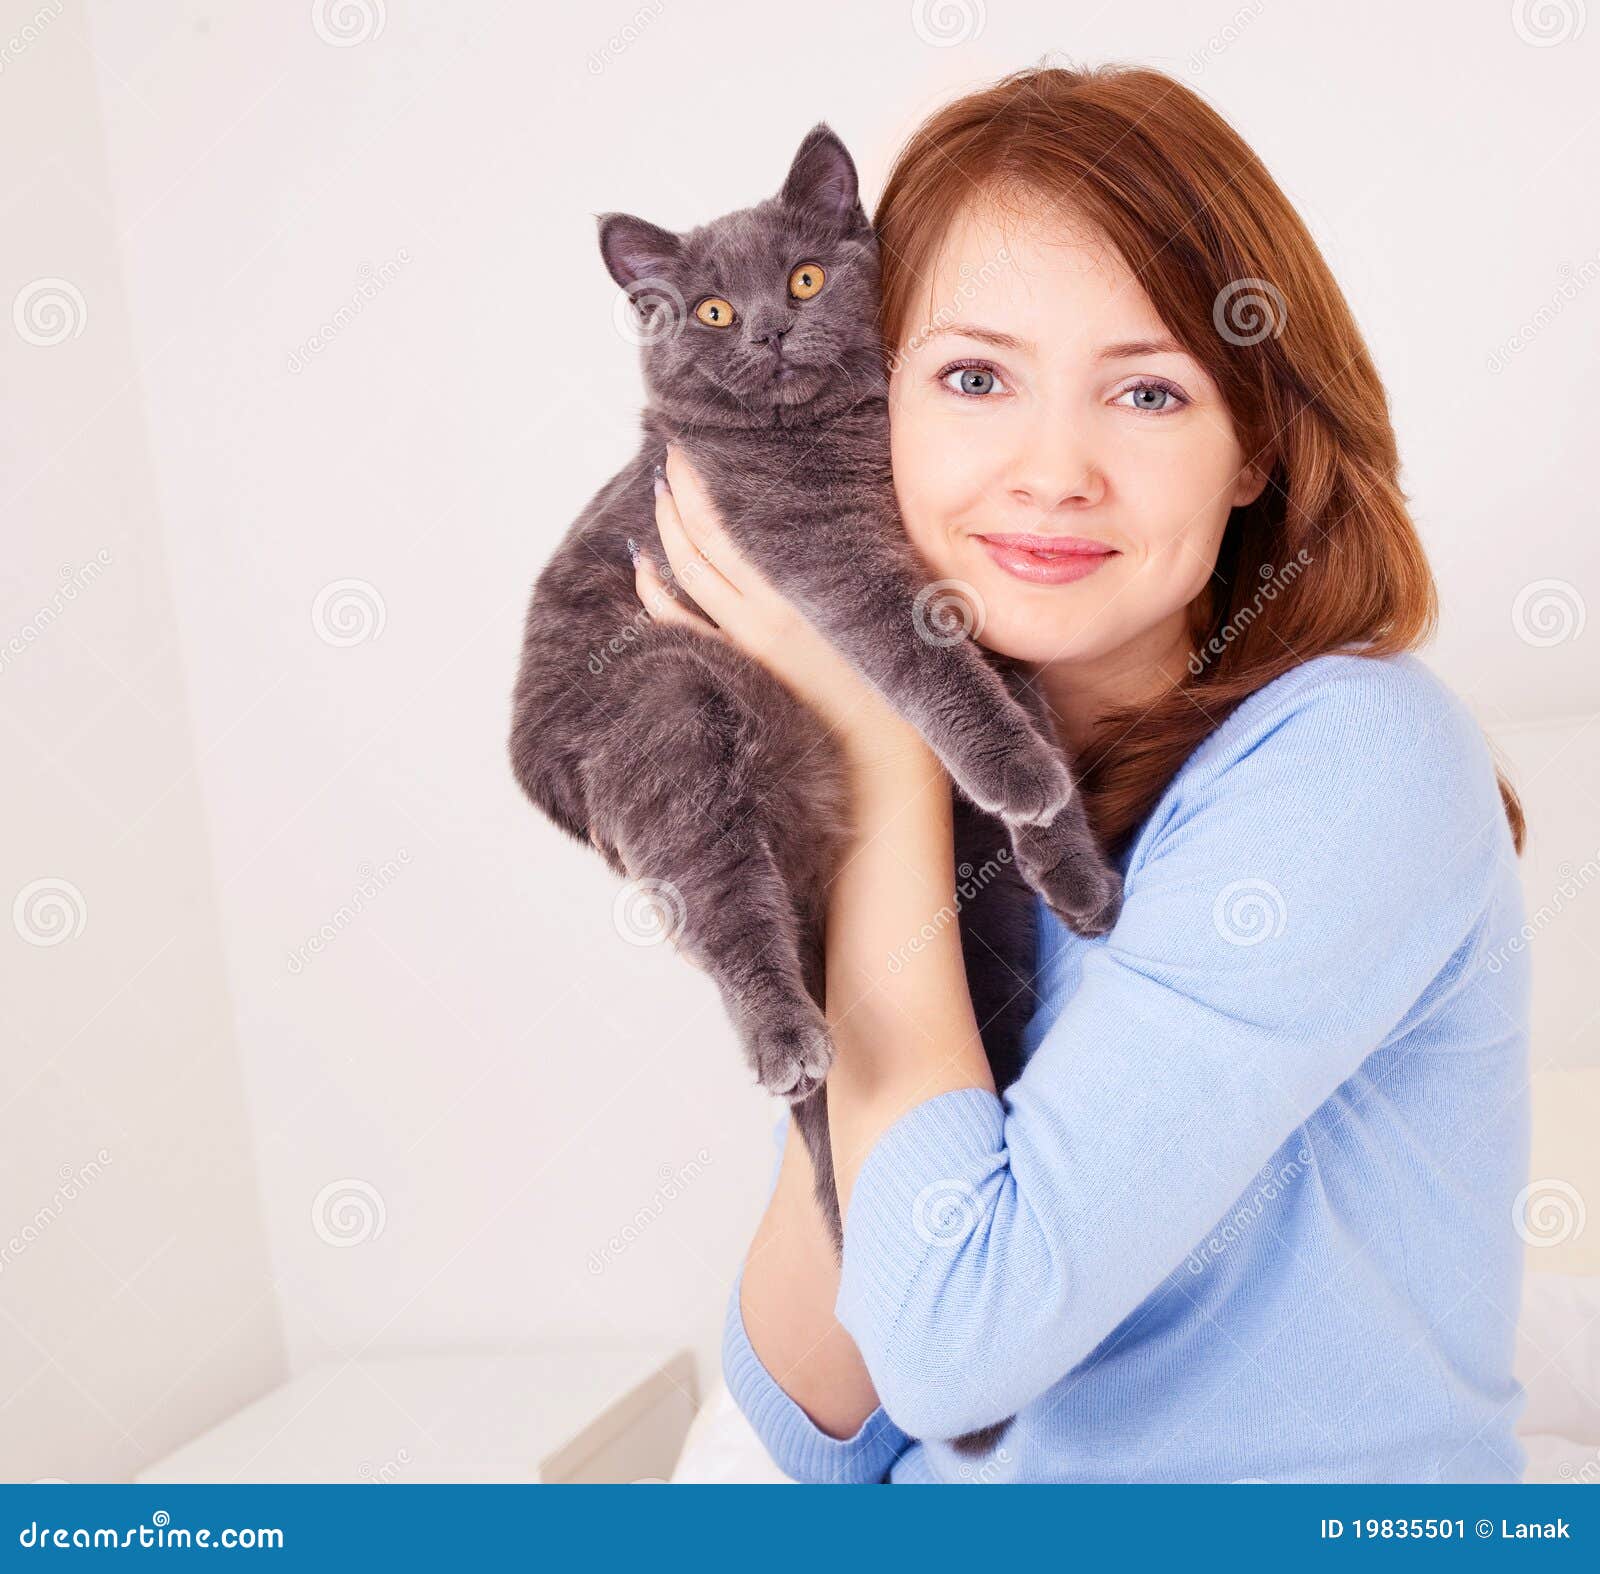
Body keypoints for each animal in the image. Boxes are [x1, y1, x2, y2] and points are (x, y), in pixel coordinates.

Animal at [505, 126, 1120, 1465]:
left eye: (800, 278)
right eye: (712, 309)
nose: (769, 331)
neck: (844, 436)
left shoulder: (981, 595)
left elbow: (1013, 697)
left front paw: (1069, 852)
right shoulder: (834, 564)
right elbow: (941, 676)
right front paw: (1022, 777)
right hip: (671, 713)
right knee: (724, 907)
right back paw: (787, 1038)